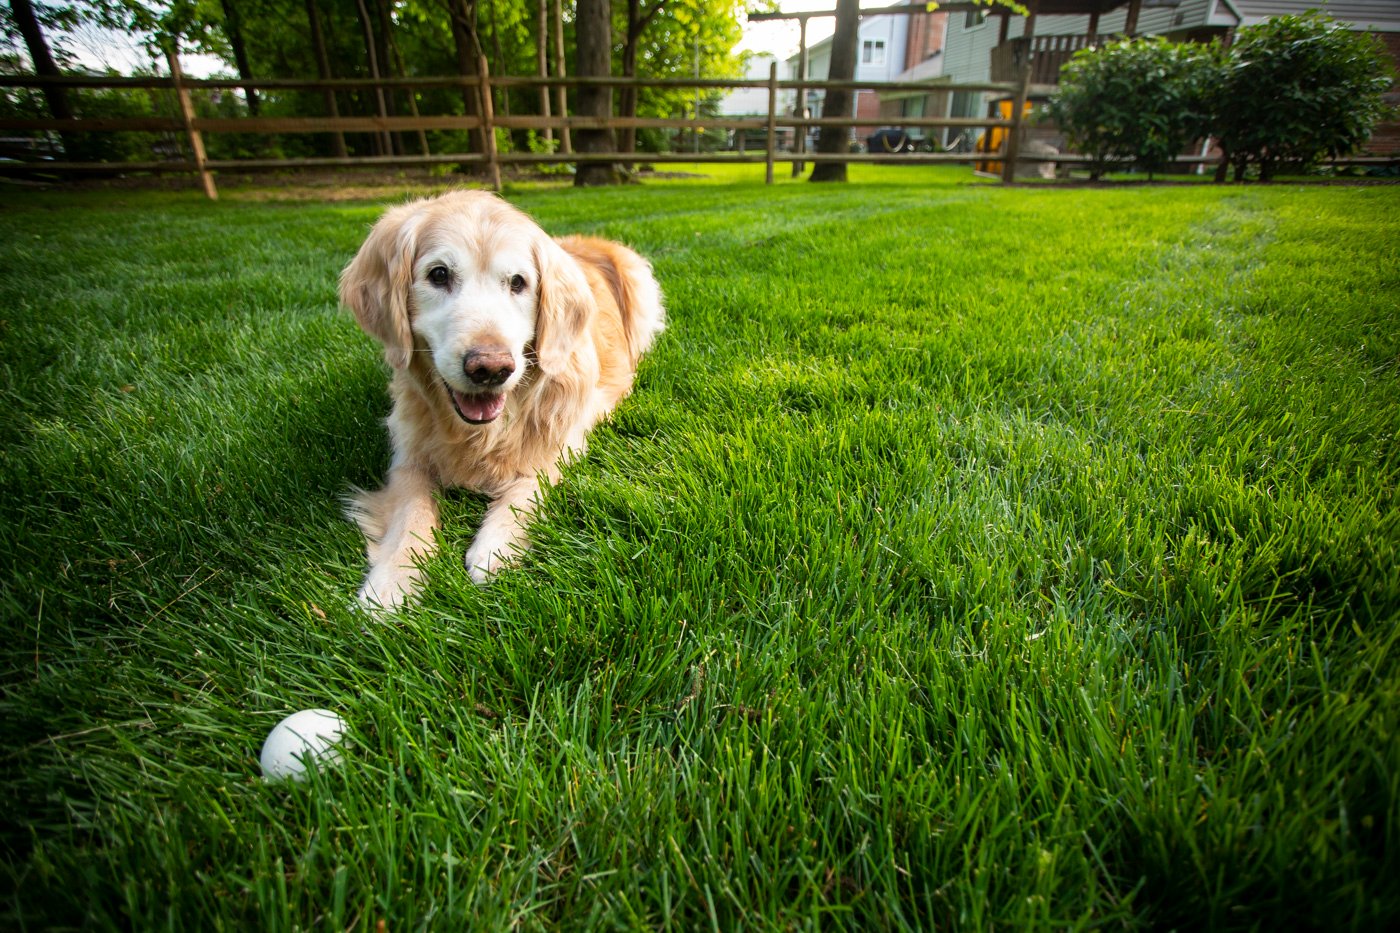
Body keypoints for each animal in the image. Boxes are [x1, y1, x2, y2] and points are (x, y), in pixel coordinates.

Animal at [340, 191, 666, 607]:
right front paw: (391, 582)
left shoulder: (565, 438)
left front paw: (496, 543)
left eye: (518, 282)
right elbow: (410, 510)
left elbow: (531, 481)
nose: (491, 369)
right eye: (438, 274)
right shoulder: (407, 455)